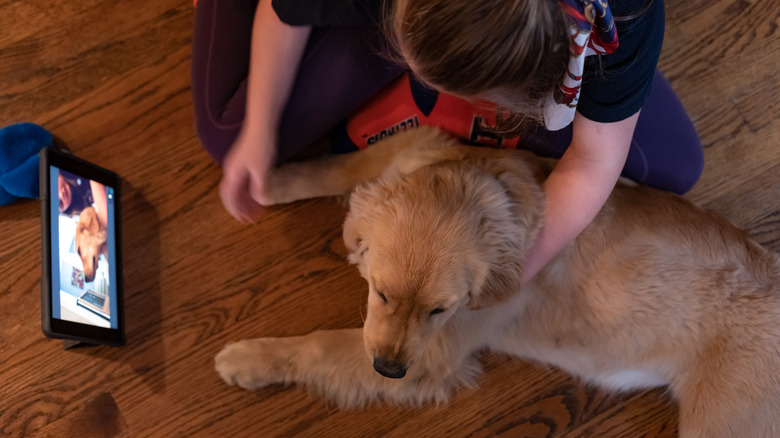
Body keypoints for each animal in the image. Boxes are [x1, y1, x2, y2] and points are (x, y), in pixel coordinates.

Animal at [215, 126, 780, 434]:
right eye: (381, 293)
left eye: (439, 311)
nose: (390, 369)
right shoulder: (412, 145)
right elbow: (337, 168)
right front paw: (265, 178)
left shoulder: (436, 352)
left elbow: (316, 345)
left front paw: (249, 359)